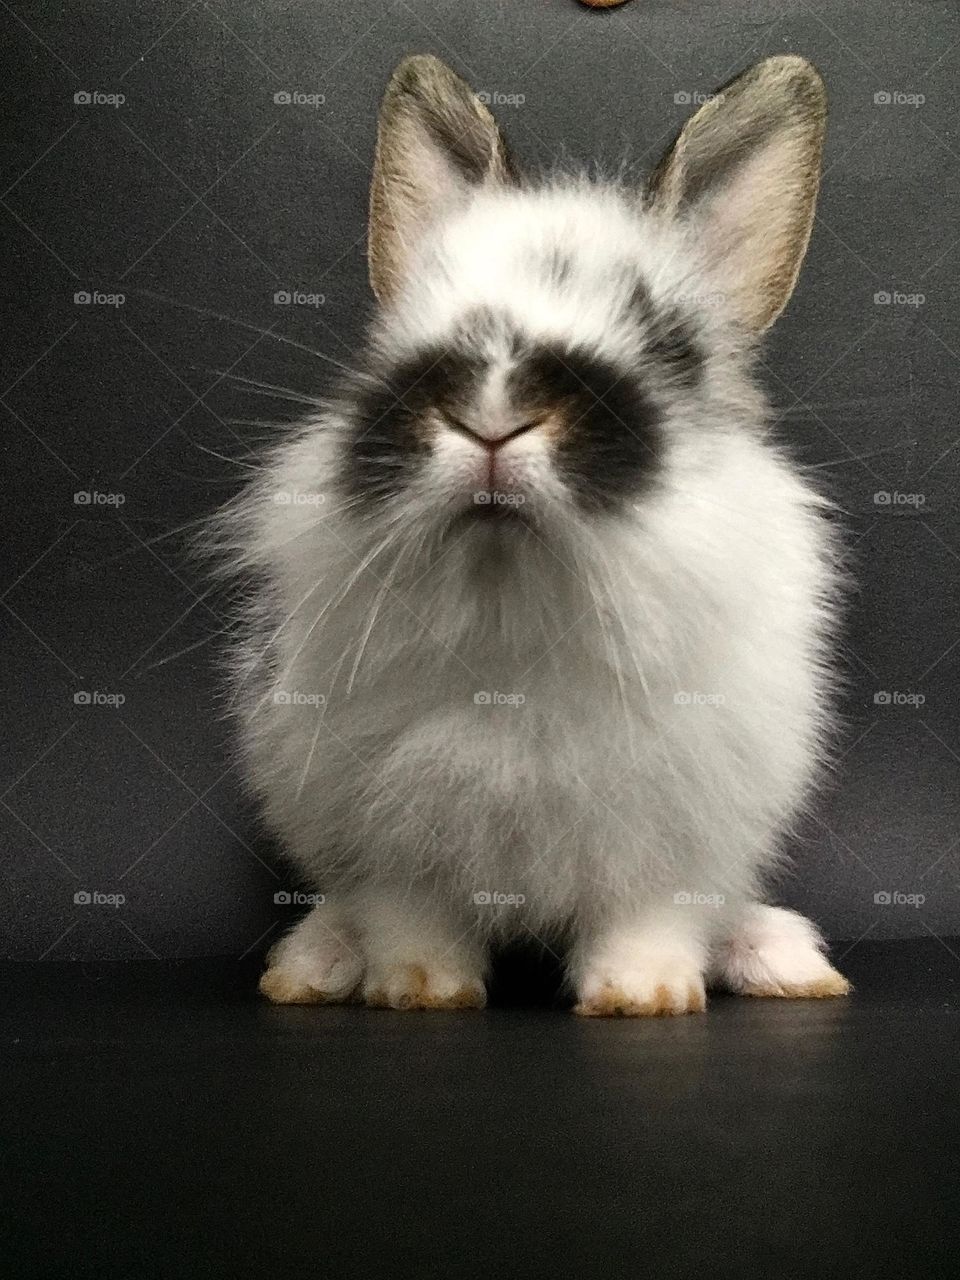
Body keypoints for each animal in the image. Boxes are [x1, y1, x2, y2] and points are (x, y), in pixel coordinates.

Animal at [218, 52, 851, 1015]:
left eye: (669, 347)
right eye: (404, 333)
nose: (491, 413)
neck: (512, 601)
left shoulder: (676, 835)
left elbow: (651, 914)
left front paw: (644, 995)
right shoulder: (384, 835)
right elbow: (408, 917)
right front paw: (417, 990)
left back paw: (781, 958)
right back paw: (312, 965)